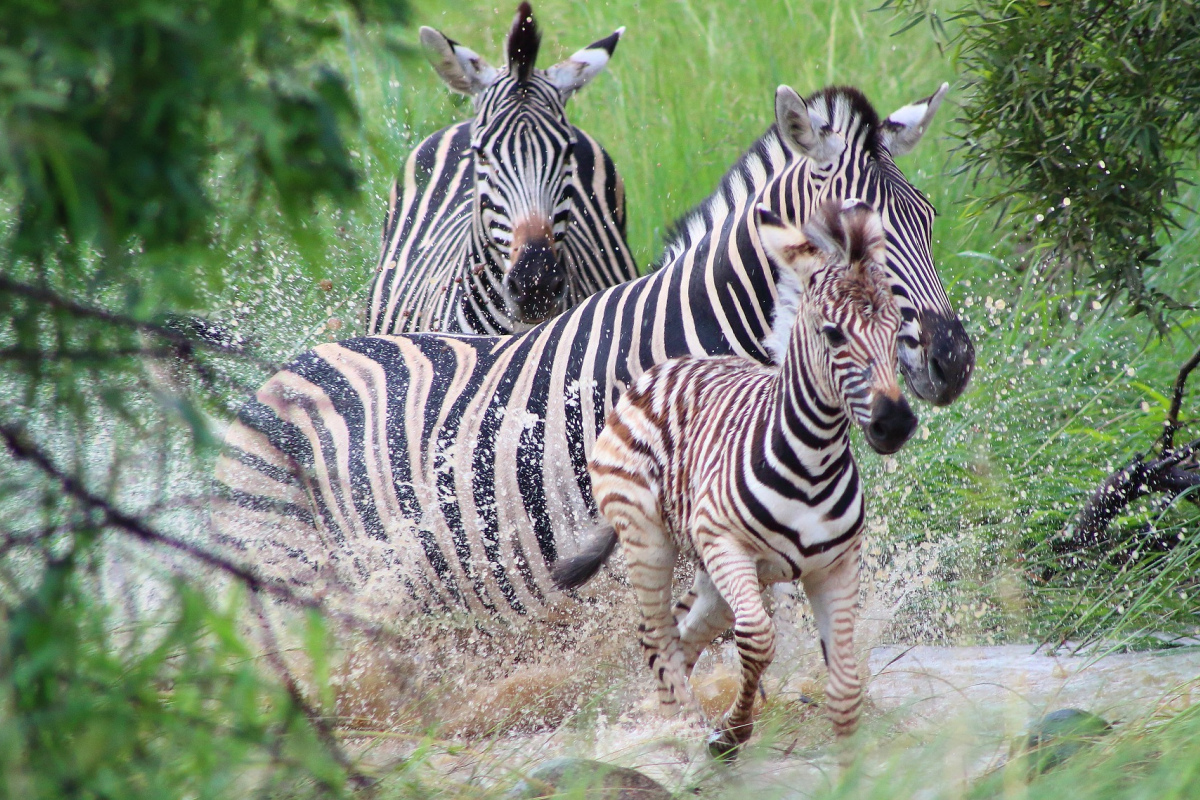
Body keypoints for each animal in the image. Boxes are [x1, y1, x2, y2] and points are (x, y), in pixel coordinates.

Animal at [554, 201, 914, 755]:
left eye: (897, 329)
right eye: (833, 334)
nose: (895, 423)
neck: (813, 461)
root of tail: (662, 370)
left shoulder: (835, 566)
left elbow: (846, 681)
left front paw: (851, 759)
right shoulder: (727, 544)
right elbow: (759, 640)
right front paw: (733, 732)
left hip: (715, 575)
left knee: (683, 635)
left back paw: (670, 719)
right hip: (651, 538)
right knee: (657, 637)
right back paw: (682, 728)